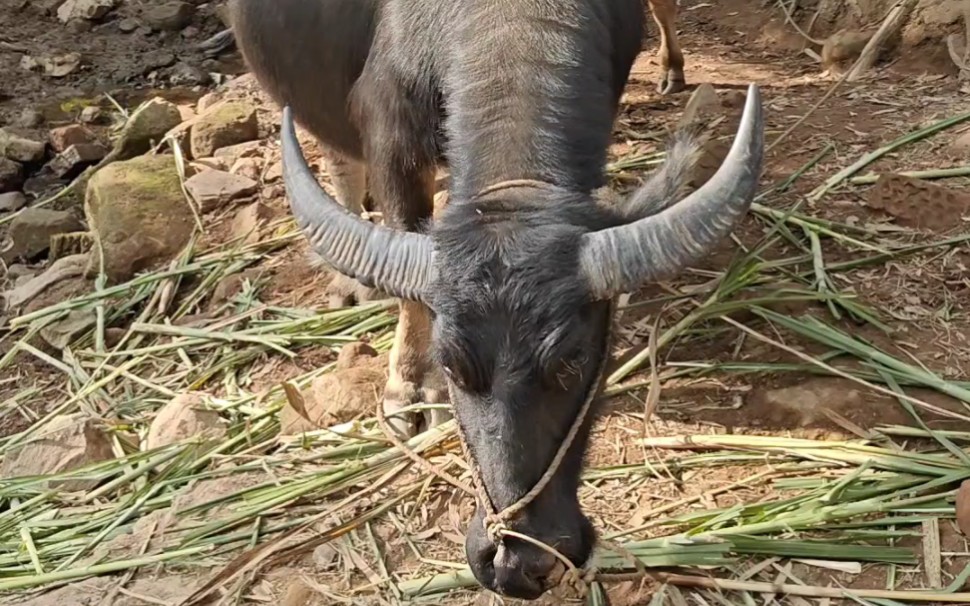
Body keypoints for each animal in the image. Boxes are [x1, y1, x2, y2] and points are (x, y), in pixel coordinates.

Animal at [229, 0, 764, 600]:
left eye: (574, 360)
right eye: (452, 367)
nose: (517, 562)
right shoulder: (390, 134)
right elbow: (409, 255)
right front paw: (407, 391)